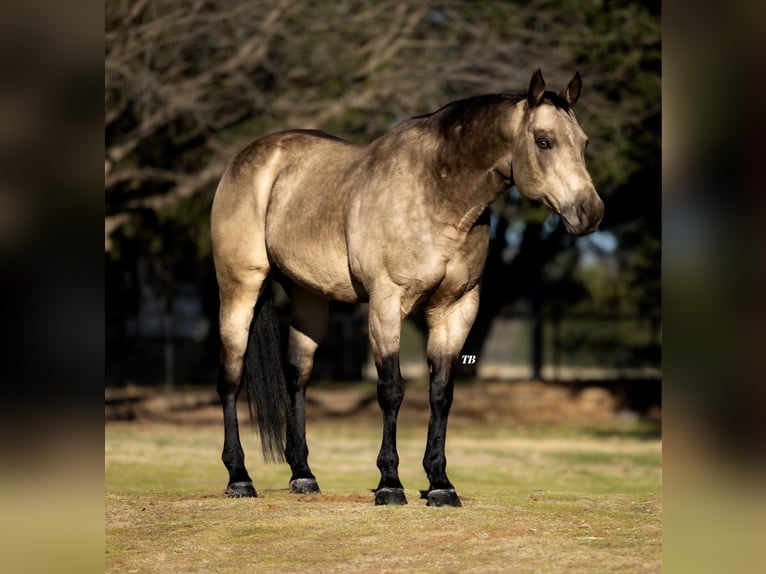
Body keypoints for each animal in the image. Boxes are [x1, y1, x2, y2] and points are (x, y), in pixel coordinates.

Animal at [212, 68, 608, 508]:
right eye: (543, 140)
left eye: (584, 142)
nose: (591, 212)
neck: (436, 194)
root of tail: (250, 156)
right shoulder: (387, 303)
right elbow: (391, 389)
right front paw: (390, 483)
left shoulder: (456, 309)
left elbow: (441, 393)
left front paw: (440, 483)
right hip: (240, 287)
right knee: (230, 377)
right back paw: (239, 478)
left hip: (308, 297)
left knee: (298, 375)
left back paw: (303, 475)